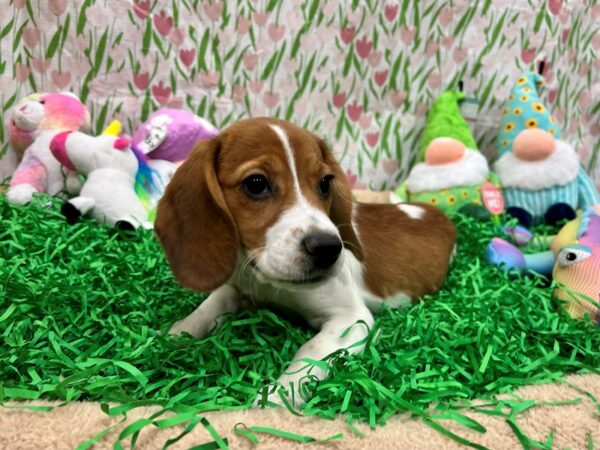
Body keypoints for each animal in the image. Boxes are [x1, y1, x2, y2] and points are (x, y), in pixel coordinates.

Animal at [155, 118, 454, 406]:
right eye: (256, 183)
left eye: (325, 183)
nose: (329, 249)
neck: (270, 285)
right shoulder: (239, 284)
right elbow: (215, 299)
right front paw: (178, 331)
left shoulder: (351, 318)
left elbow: (312, 349)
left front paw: (278, 394)